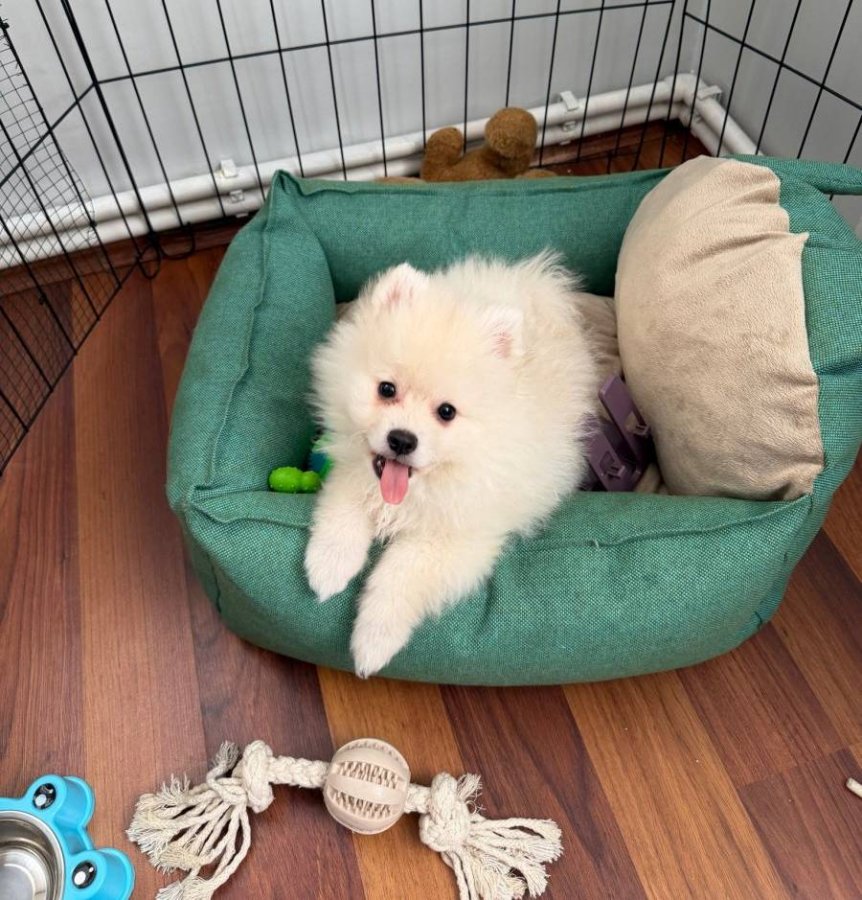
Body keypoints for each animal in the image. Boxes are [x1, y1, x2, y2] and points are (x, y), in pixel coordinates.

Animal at [304, 252, 598, 676]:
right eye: (387, 389)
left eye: (447, 412)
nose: (402, 439)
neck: (419, 490)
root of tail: (532, 281)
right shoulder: (353, 473)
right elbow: (341, 517)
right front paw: (329, 568)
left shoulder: (455, 538)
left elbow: (399, 575)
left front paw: (373, 641)